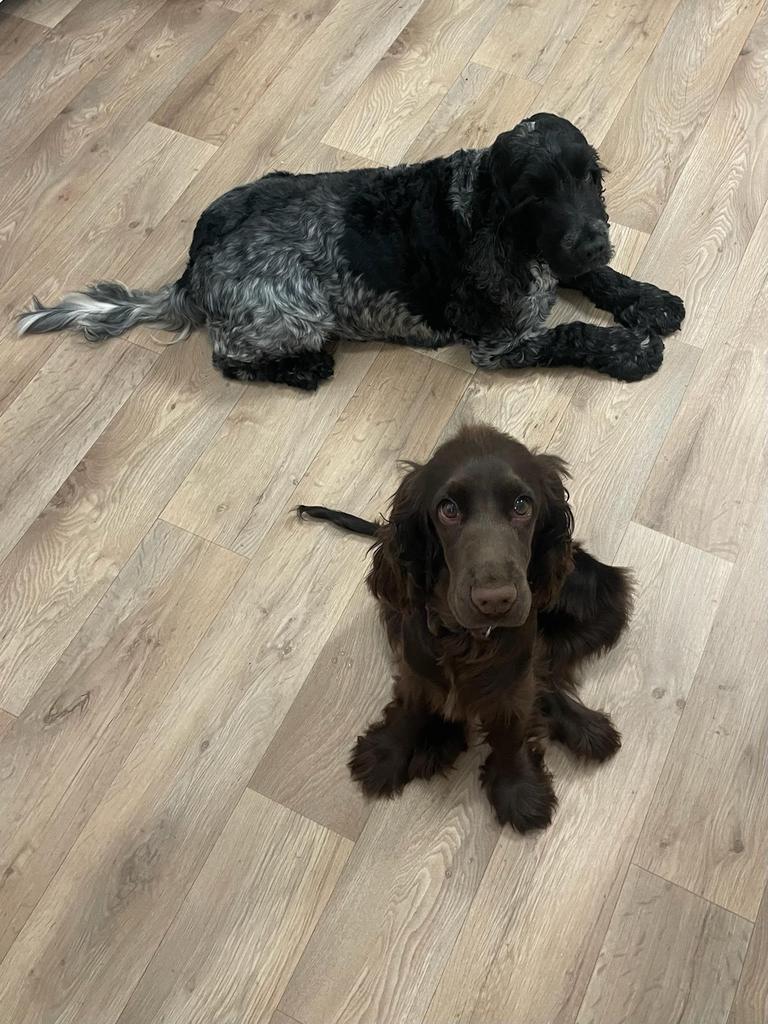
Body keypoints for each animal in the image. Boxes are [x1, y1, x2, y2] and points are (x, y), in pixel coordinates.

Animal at [19, 114, 684, 389]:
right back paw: (302, 369)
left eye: (589, 178)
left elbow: (597, 278)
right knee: (227, 356)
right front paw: (632, 350)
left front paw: (650, 302)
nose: (591, 236)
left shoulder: (563, 262)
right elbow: (570, 333)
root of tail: (192, 271)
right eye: (533, 197)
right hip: (293, 314)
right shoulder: (500, 343)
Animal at [296, 423, 634, 831]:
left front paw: (518, 789)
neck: (467, 640)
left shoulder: (512, 682)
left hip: (601, 598)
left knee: (545, 674)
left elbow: (513, 727)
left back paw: (586, 728)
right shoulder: (416, 660)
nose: (495, 601)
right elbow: (411, 704)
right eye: (449, 509)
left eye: (522, 505)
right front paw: (387, 753)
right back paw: (438, 741)